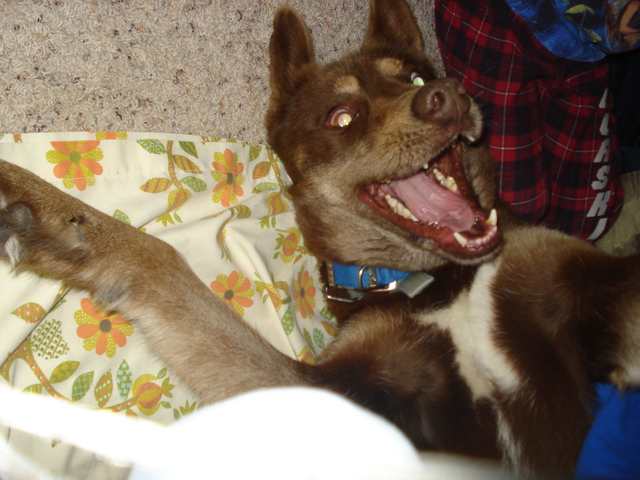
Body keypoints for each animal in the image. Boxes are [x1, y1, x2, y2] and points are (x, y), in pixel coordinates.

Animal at [1, 0, 639, 478]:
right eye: (341, 117)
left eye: (414, 76)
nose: (447, 95)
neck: (436, 281)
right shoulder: (329, 394)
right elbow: (159, 260)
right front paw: (34, 206)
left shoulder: (565, 274)